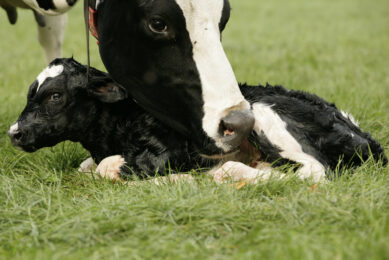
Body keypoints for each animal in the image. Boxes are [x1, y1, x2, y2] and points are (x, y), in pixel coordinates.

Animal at [7, 58, 386, 183]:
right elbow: (87, 165)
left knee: (315, 171)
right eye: (30, 93)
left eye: (55, 96)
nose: (14, 133)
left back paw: (229, 172)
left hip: (264, 110)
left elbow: (108, 167)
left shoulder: (168, 152)